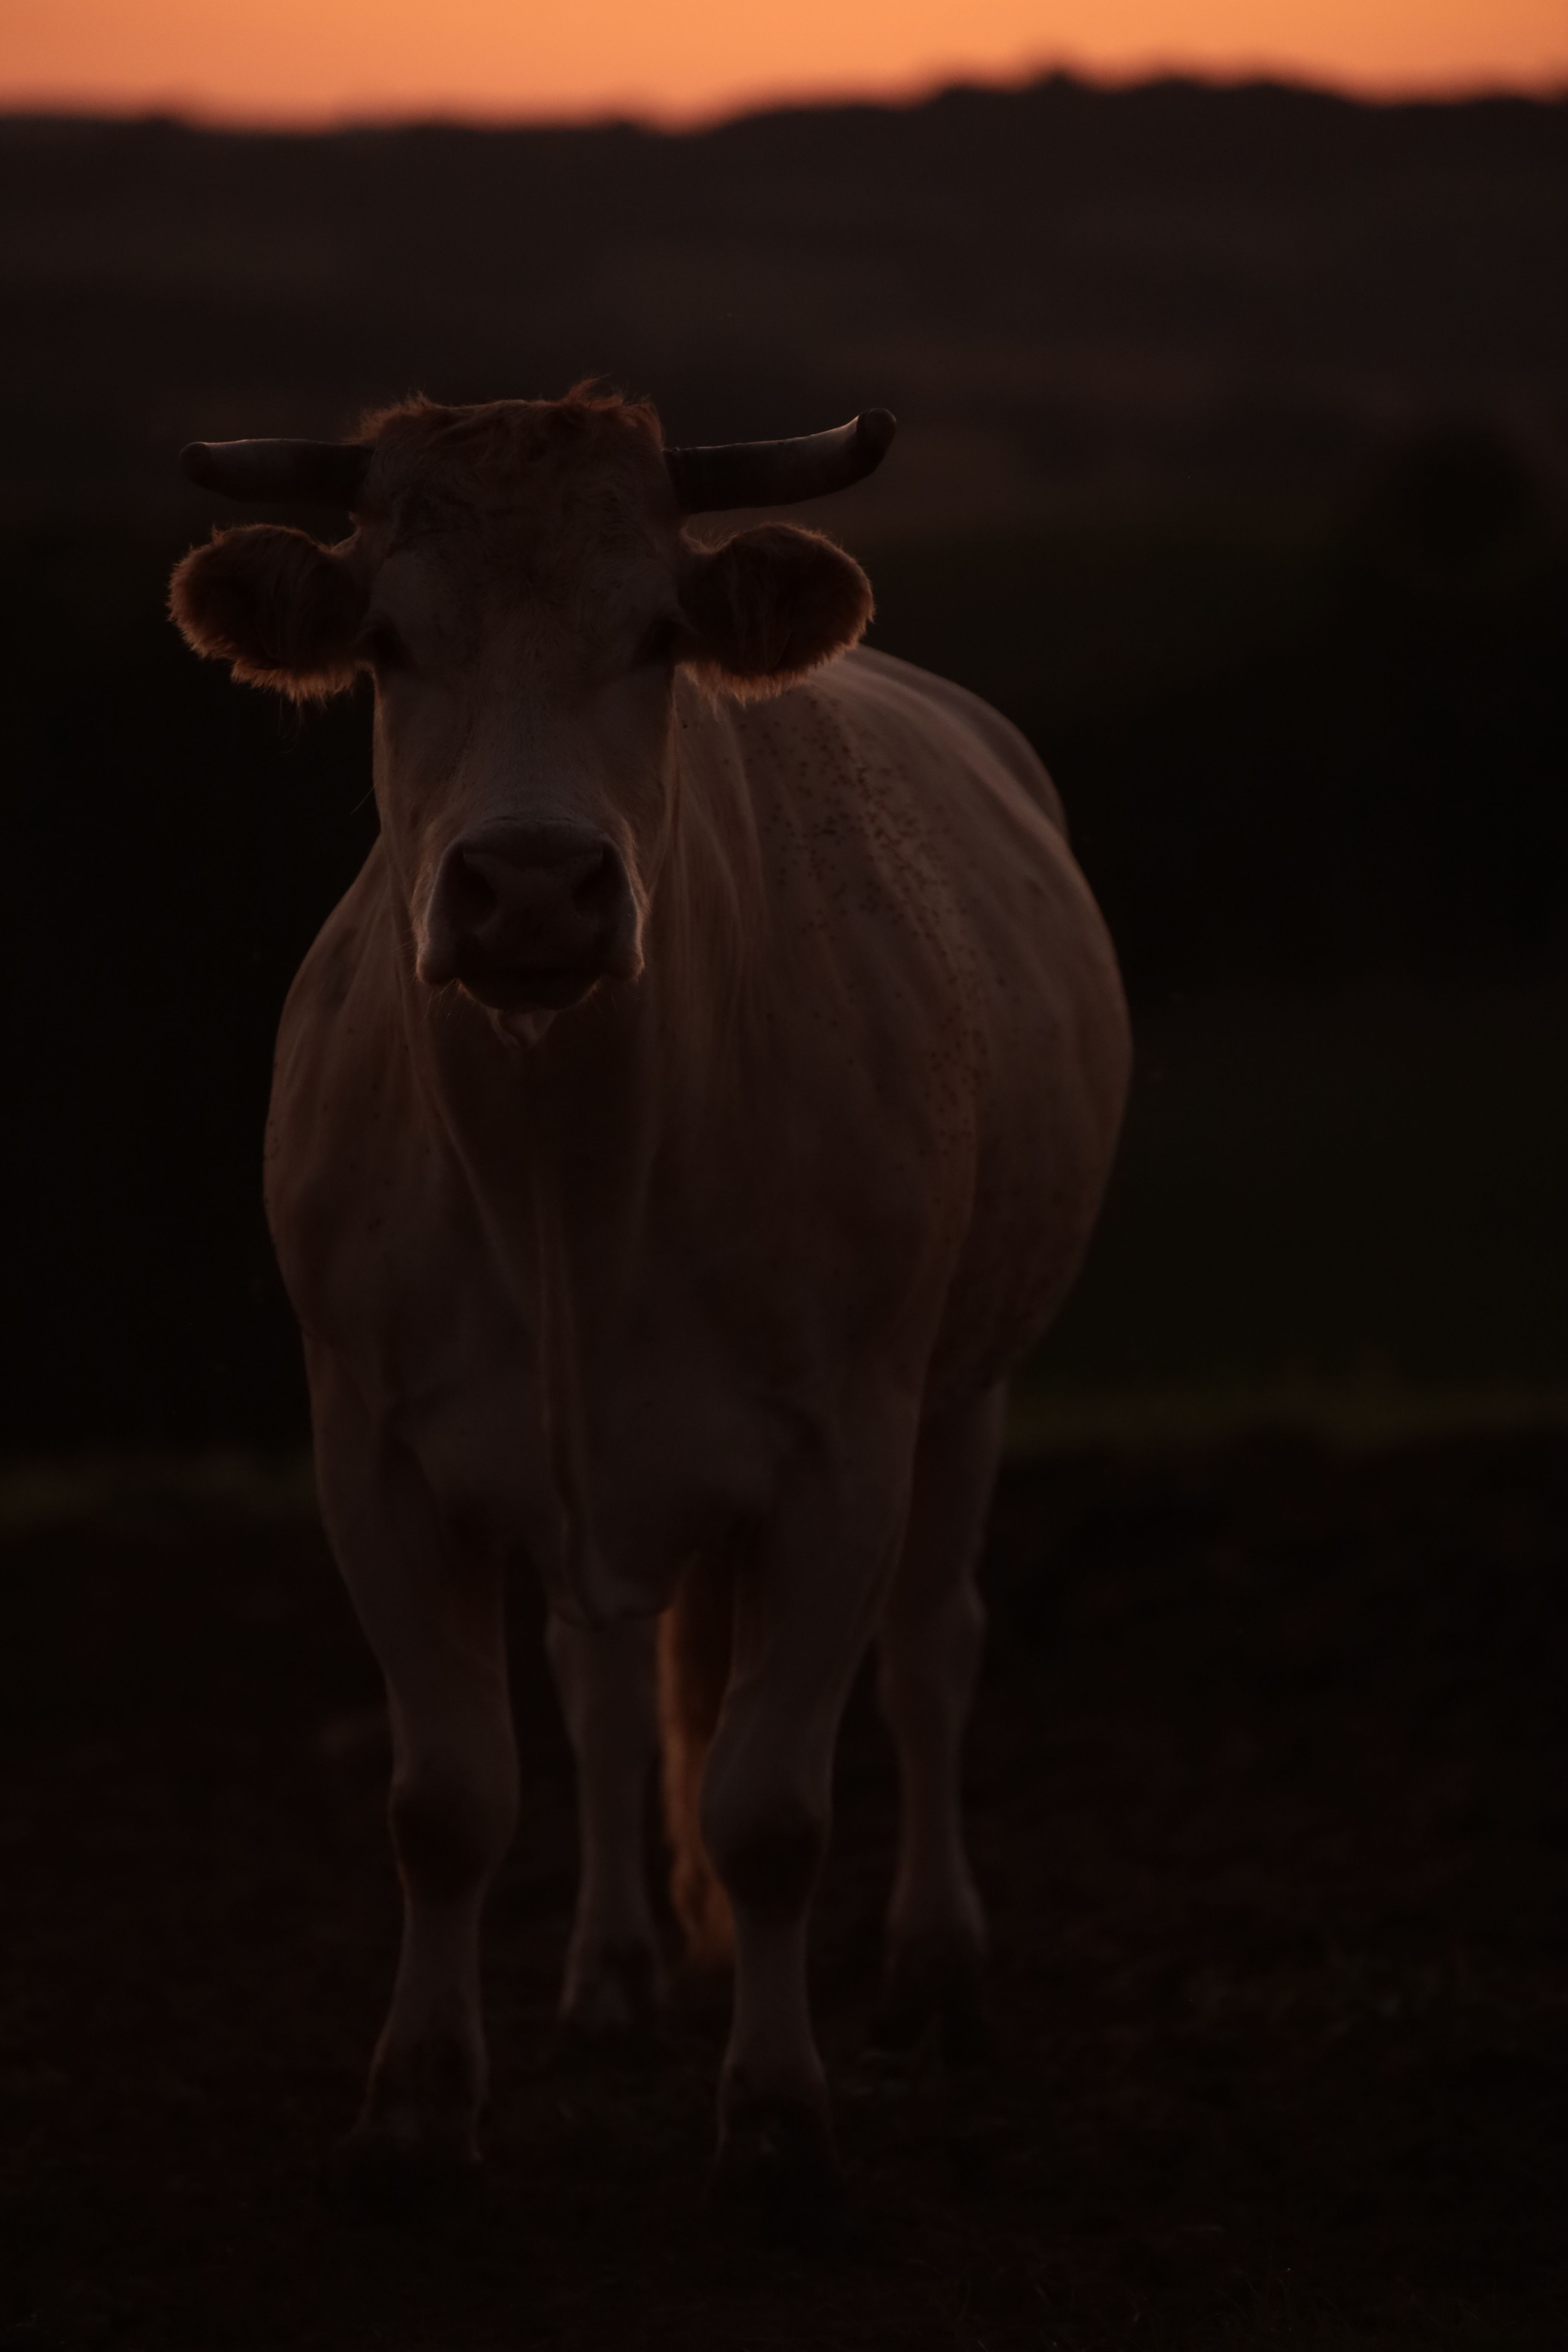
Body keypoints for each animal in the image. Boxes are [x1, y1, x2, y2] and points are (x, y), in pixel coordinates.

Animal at [169, 389, 1130, 2215]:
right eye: (388, 643)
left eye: (658, 636)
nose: (534, 888)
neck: (568, 1180)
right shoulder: (376, 1453)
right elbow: (449, 1797)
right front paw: (418, 2101)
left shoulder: (843, 1455)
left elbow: (772, 1810)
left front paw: (775, 2113)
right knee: (606, 1696)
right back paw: (614, 1976)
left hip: (965, 1394)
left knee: (932, 1655)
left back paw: (935, 1972)